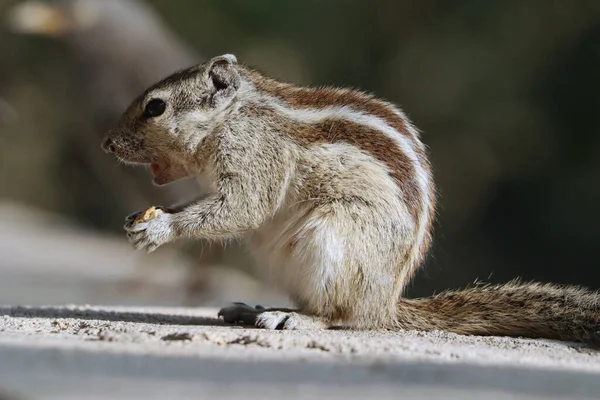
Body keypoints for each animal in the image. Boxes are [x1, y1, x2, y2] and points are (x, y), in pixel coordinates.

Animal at [103, 54, 600, 346]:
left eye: (155, 107)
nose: (107, 143)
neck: (235, 116)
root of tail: (386, 303)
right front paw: (141, 218)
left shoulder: (258, 157)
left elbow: (243, 207)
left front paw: (160, 227)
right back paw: (255, 310)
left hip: (332, 238)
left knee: (343, 317)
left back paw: (295, 320)